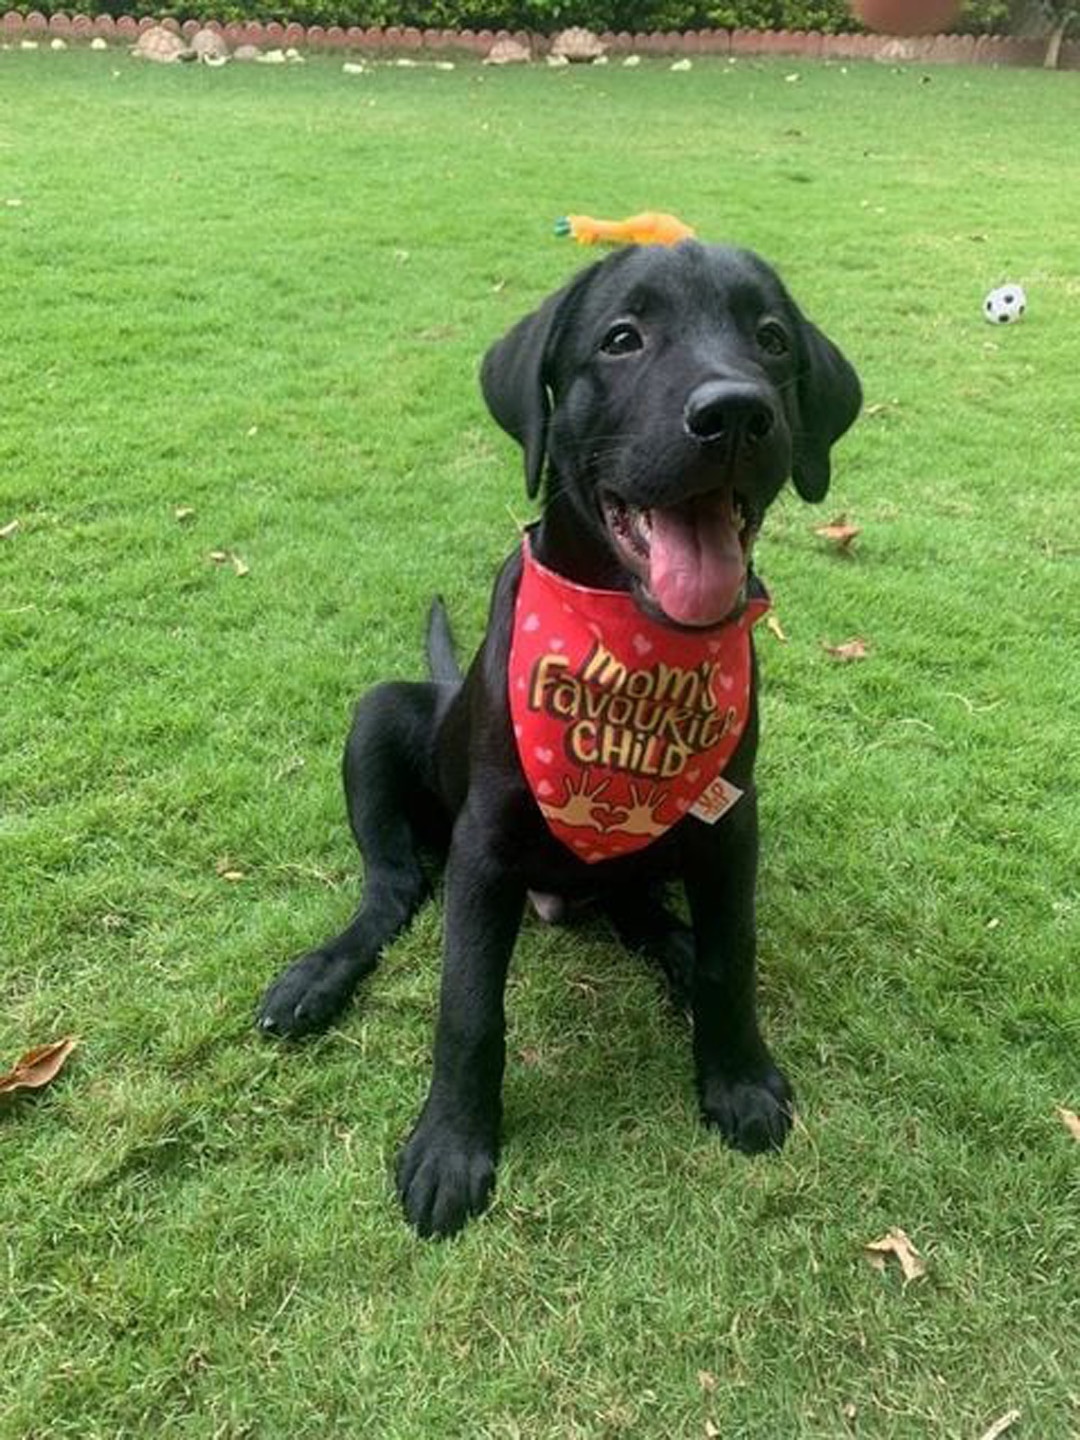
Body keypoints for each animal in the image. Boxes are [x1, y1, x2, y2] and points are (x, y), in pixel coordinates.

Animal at [260, 239, 864, 1238]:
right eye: (622, 339)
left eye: (773, 339)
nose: (736, 413)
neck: (630, 644)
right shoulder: (486, 844)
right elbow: (468, 1007)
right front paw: (452, 1147)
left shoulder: (730, 821)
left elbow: (734, 958)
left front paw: (736, 1077)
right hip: (381, 717)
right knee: (393, 890)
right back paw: (319, 975)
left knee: (637, 905)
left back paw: (675, 949)